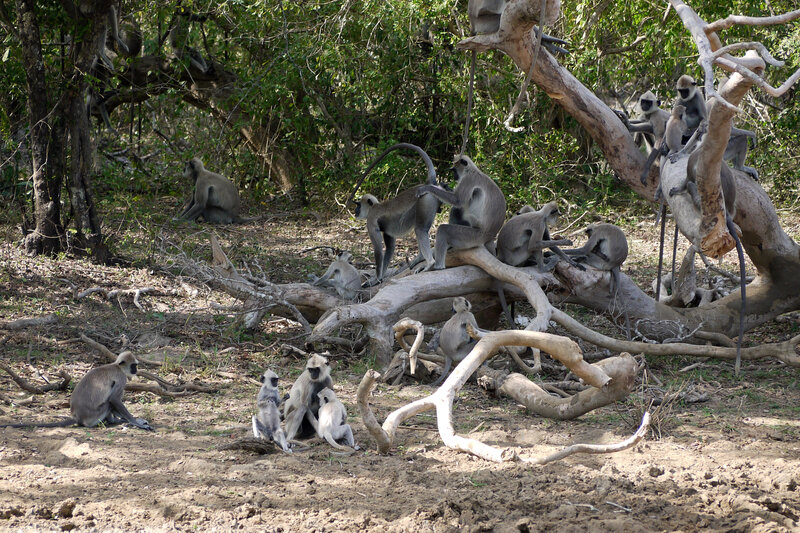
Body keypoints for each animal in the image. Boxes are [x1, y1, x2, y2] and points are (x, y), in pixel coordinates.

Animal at [1, 352, 152, 431]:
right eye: (133, 366)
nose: (136, 370)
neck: (117, 367)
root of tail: (77, 416)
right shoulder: (121, 378)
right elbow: (114, 399)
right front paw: (136, 423)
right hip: (95, 416)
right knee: (109, 402)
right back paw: (115, 422)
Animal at [349, 144, 441, 281]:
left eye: (358, 205)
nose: (355, 211)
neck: (375, 206)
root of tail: (426, 185)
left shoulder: (371, 219)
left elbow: (378, 251)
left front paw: (377, 278)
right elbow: (389, 249)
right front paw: (380, 277)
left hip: (426, 200)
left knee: (420, 229)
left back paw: (430, 263)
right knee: (422, 228)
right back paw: (420, 258)